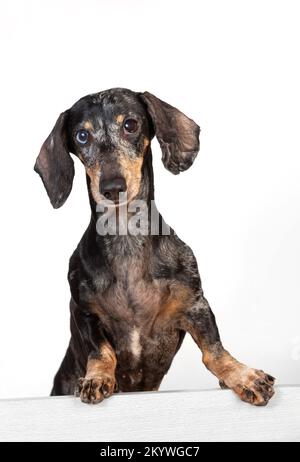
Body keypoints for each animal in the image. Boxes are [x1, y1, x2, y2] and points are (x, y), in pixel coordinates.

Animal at [34, 86, 276, 404]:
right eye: (82, 136)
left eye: (130, 124)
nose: (112, 187)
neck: (126, 238)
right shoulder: (83, 311)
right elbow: (101, 352)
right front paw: (97, 377)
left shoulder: (195, 304)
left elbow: (214, 352)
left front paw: (242, 375)